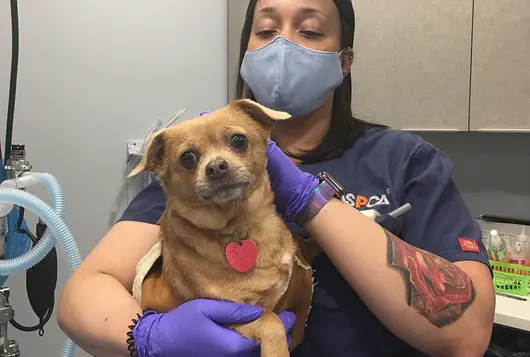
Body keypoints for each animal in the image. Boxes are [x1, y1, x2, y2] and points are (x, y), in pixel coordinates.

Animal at [128, 98, 314, 356]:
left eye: (239, 140)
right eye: (187, 158)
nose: (216, 166)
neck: (239, 225)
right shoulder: (237, 315)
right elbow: (272, 322)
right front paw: (277, 349)